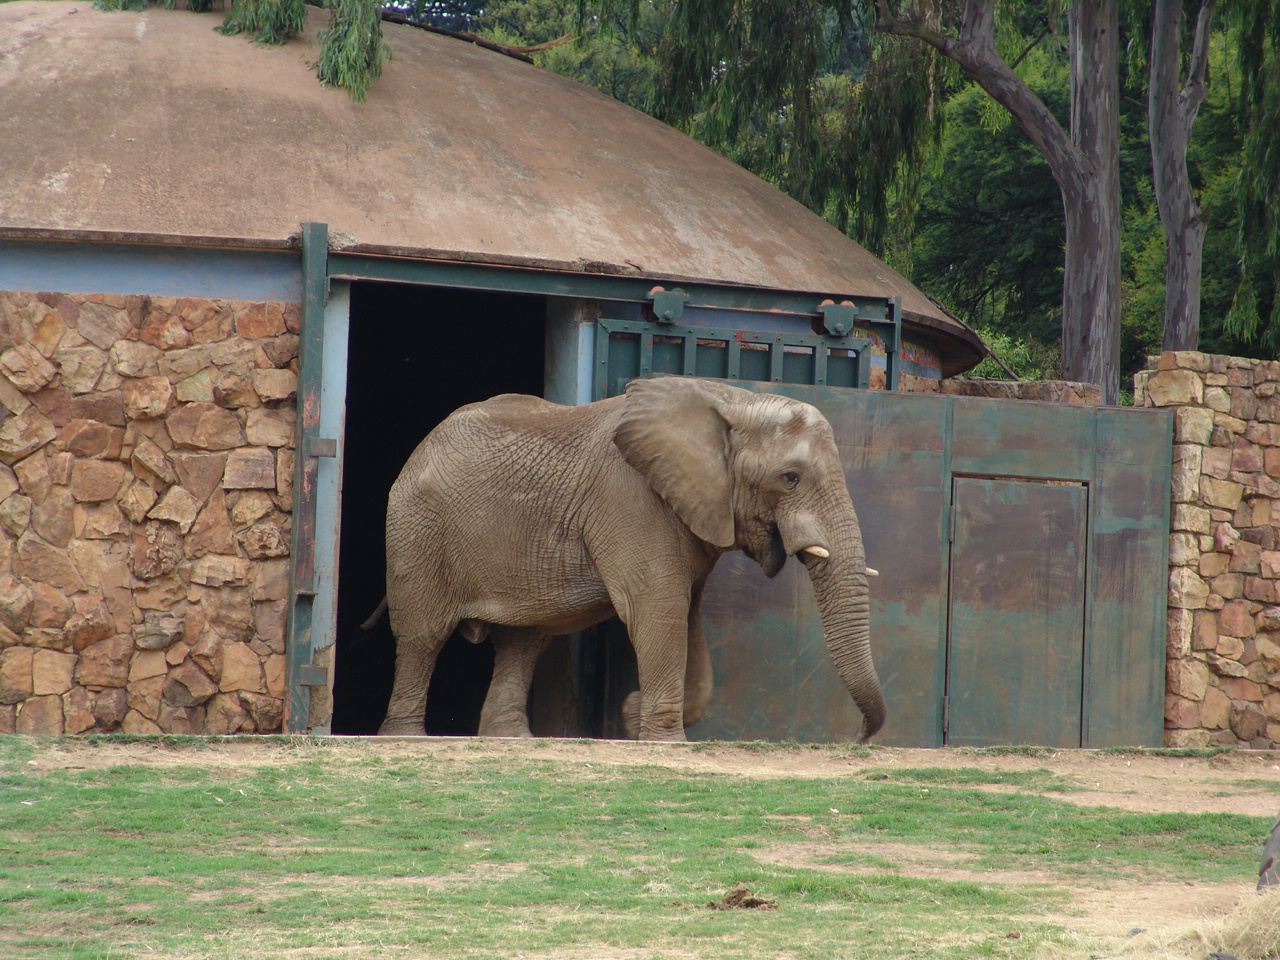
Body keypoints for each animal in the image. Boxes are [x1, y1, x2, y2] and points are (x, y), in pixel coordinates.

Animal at [377, 375, 886, 742]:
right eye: (791, 477)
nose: (857, 738)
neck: (734, 400)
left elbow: (687, 615)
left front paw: (632, 713)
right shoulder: (629, 498)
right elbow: (657, 608)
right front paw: (660, 739)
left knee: (523, 642)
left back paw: (512, 739)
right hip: (416, 529)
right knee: (423, 635)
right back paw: (405, 738)